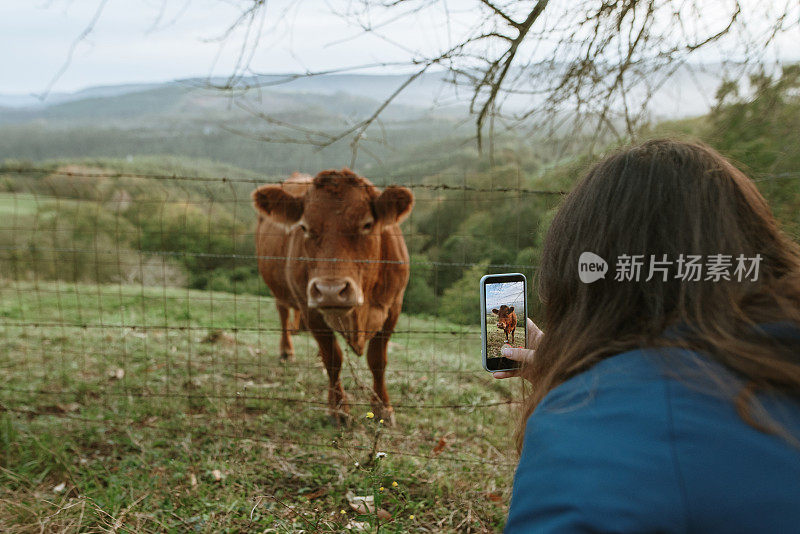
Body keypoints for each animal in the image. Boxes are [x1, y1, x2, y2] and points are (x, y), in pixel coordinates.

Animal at [250, 170, 412, 426]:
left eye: (367, 224)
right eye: (304, 226)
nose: (330, 290)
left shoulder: (394, 306)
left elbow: (377, 360)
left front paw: (383, 408)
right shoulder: (311, 309)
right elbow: (333, 359)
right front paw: (338, 410)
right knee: (283, 312)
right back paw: (286, 351)